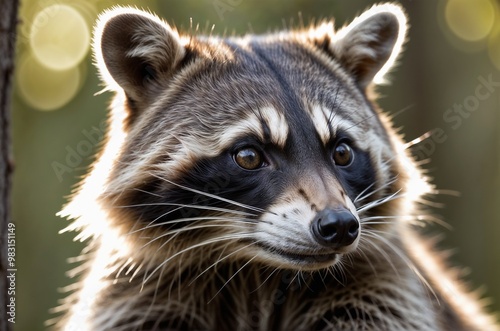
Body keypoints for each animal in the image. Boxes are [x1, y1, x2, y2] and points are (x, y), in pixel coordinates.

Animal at [54, 3, 496, 331]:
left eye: (342, 152)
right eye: (249, 156)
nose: (340, 226)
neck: (257, 273)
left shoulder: (383, 294)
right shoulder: (137, 298)